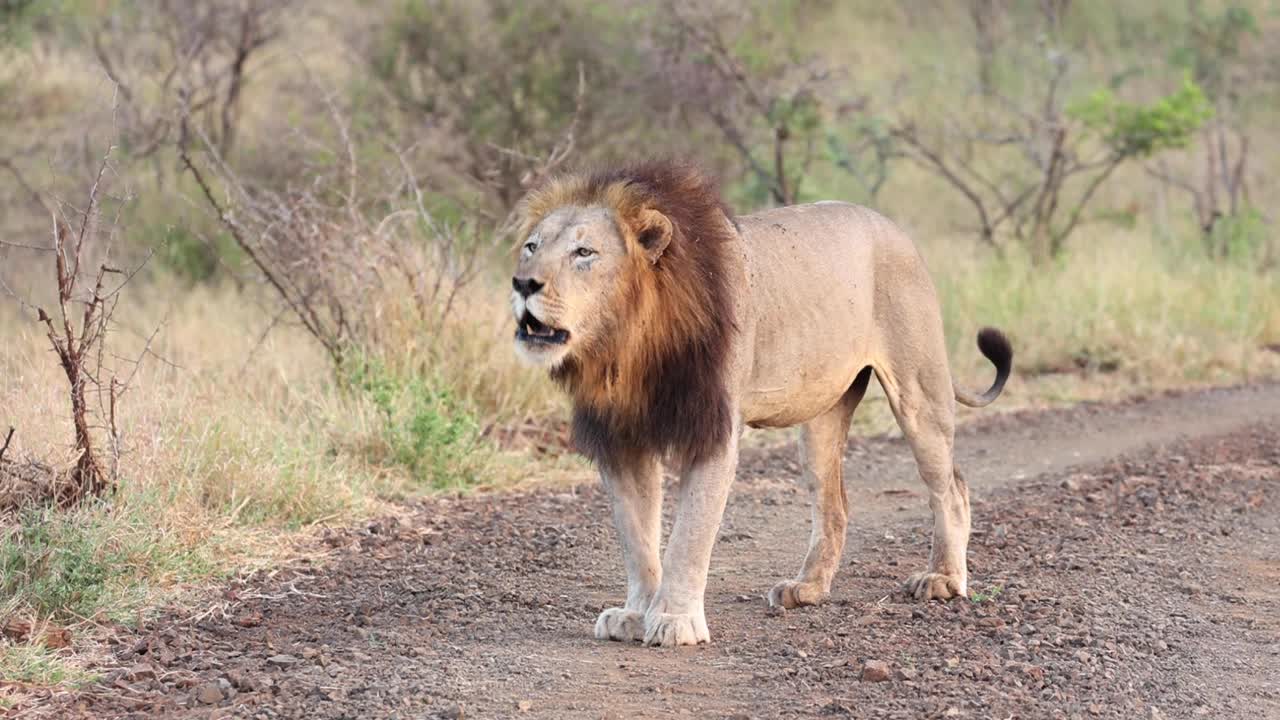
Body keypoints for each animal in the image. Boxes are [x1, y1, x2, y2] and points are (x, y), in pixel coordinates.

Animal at [506, 158, 1008, 645]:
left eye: (584, 253)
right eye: (531, 247)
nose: (522, 283)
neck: (625, 346)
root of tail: (897, 229)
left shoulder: (713, 431)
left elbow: (689, 535)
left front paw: (673, 620)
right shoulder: (621, 437)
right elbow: (637, 536)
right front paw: (634, 613)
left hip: (918, 392)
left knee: (952, 487)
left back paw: (943, 579)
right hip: (821, 421)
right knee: (834, 502)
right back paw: (807, 588)